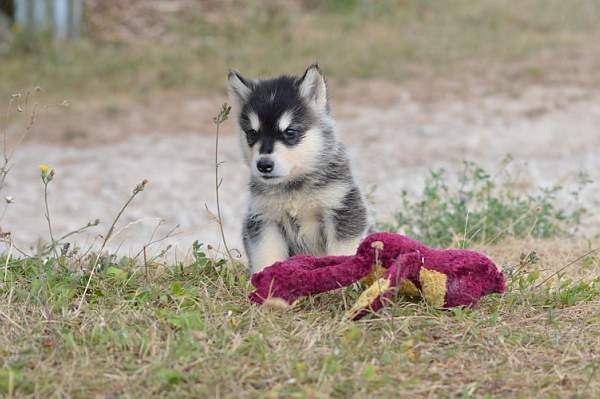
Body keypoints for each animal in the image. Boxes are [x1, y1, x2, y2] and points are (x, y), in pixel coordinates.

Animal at [227, 64, 368, 274]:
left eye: (290, 132)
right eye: (252, 133)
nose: (264, 165)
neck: (294, 188)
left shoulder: (343, 208)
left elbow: (342, 251)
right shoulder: (264, 219)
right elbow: (266, 257)